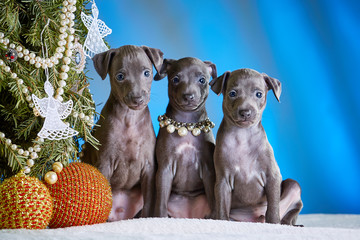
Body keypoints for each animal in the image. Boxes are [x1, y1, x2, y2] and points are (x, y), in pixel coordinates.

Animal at [81, 45, 163, 221]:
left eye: (147, 73)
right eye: (120, 76)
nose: (138, 99)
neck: (130, 118)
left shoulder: (149, 168)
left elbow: (149, 201)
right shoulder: (105, 163)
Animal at [154, 57, 217, 218]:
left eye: (202, 80)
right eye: (175, 79)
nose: (188, 96)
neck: (187, 125)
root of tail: (188, 215)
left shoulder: (208, 170)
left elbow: (214, 199)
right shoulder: (165, 169)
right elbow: (161, 201)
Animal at [210, 68, 302, 226]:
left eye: (259, 94)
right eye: (232, 93)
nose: (245, 112)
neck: (242, 137)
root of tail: (253, 220)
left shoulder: (272, 176)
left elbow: (273, 207)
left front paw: (274, 223)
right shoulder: (223, 180)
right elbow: (222, 207)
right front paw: (222, 221)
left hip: (293, 185)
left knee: (291, 212)